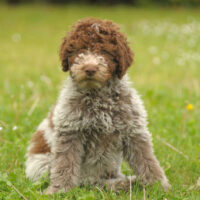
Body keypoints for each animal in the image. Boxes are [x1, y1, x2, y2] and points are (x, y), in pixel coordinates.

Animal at [24, 17, 170, 194]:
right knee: (85, 181)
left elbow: (146, 160)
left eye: (105, 52)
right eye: (80, 50)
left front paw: (158, 185)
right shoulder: (70, 131)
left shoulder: (134, 130)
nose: (90, 68)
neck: (98, 96)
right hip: (41, 164)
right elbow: (65, 164)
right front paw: (60, 190)